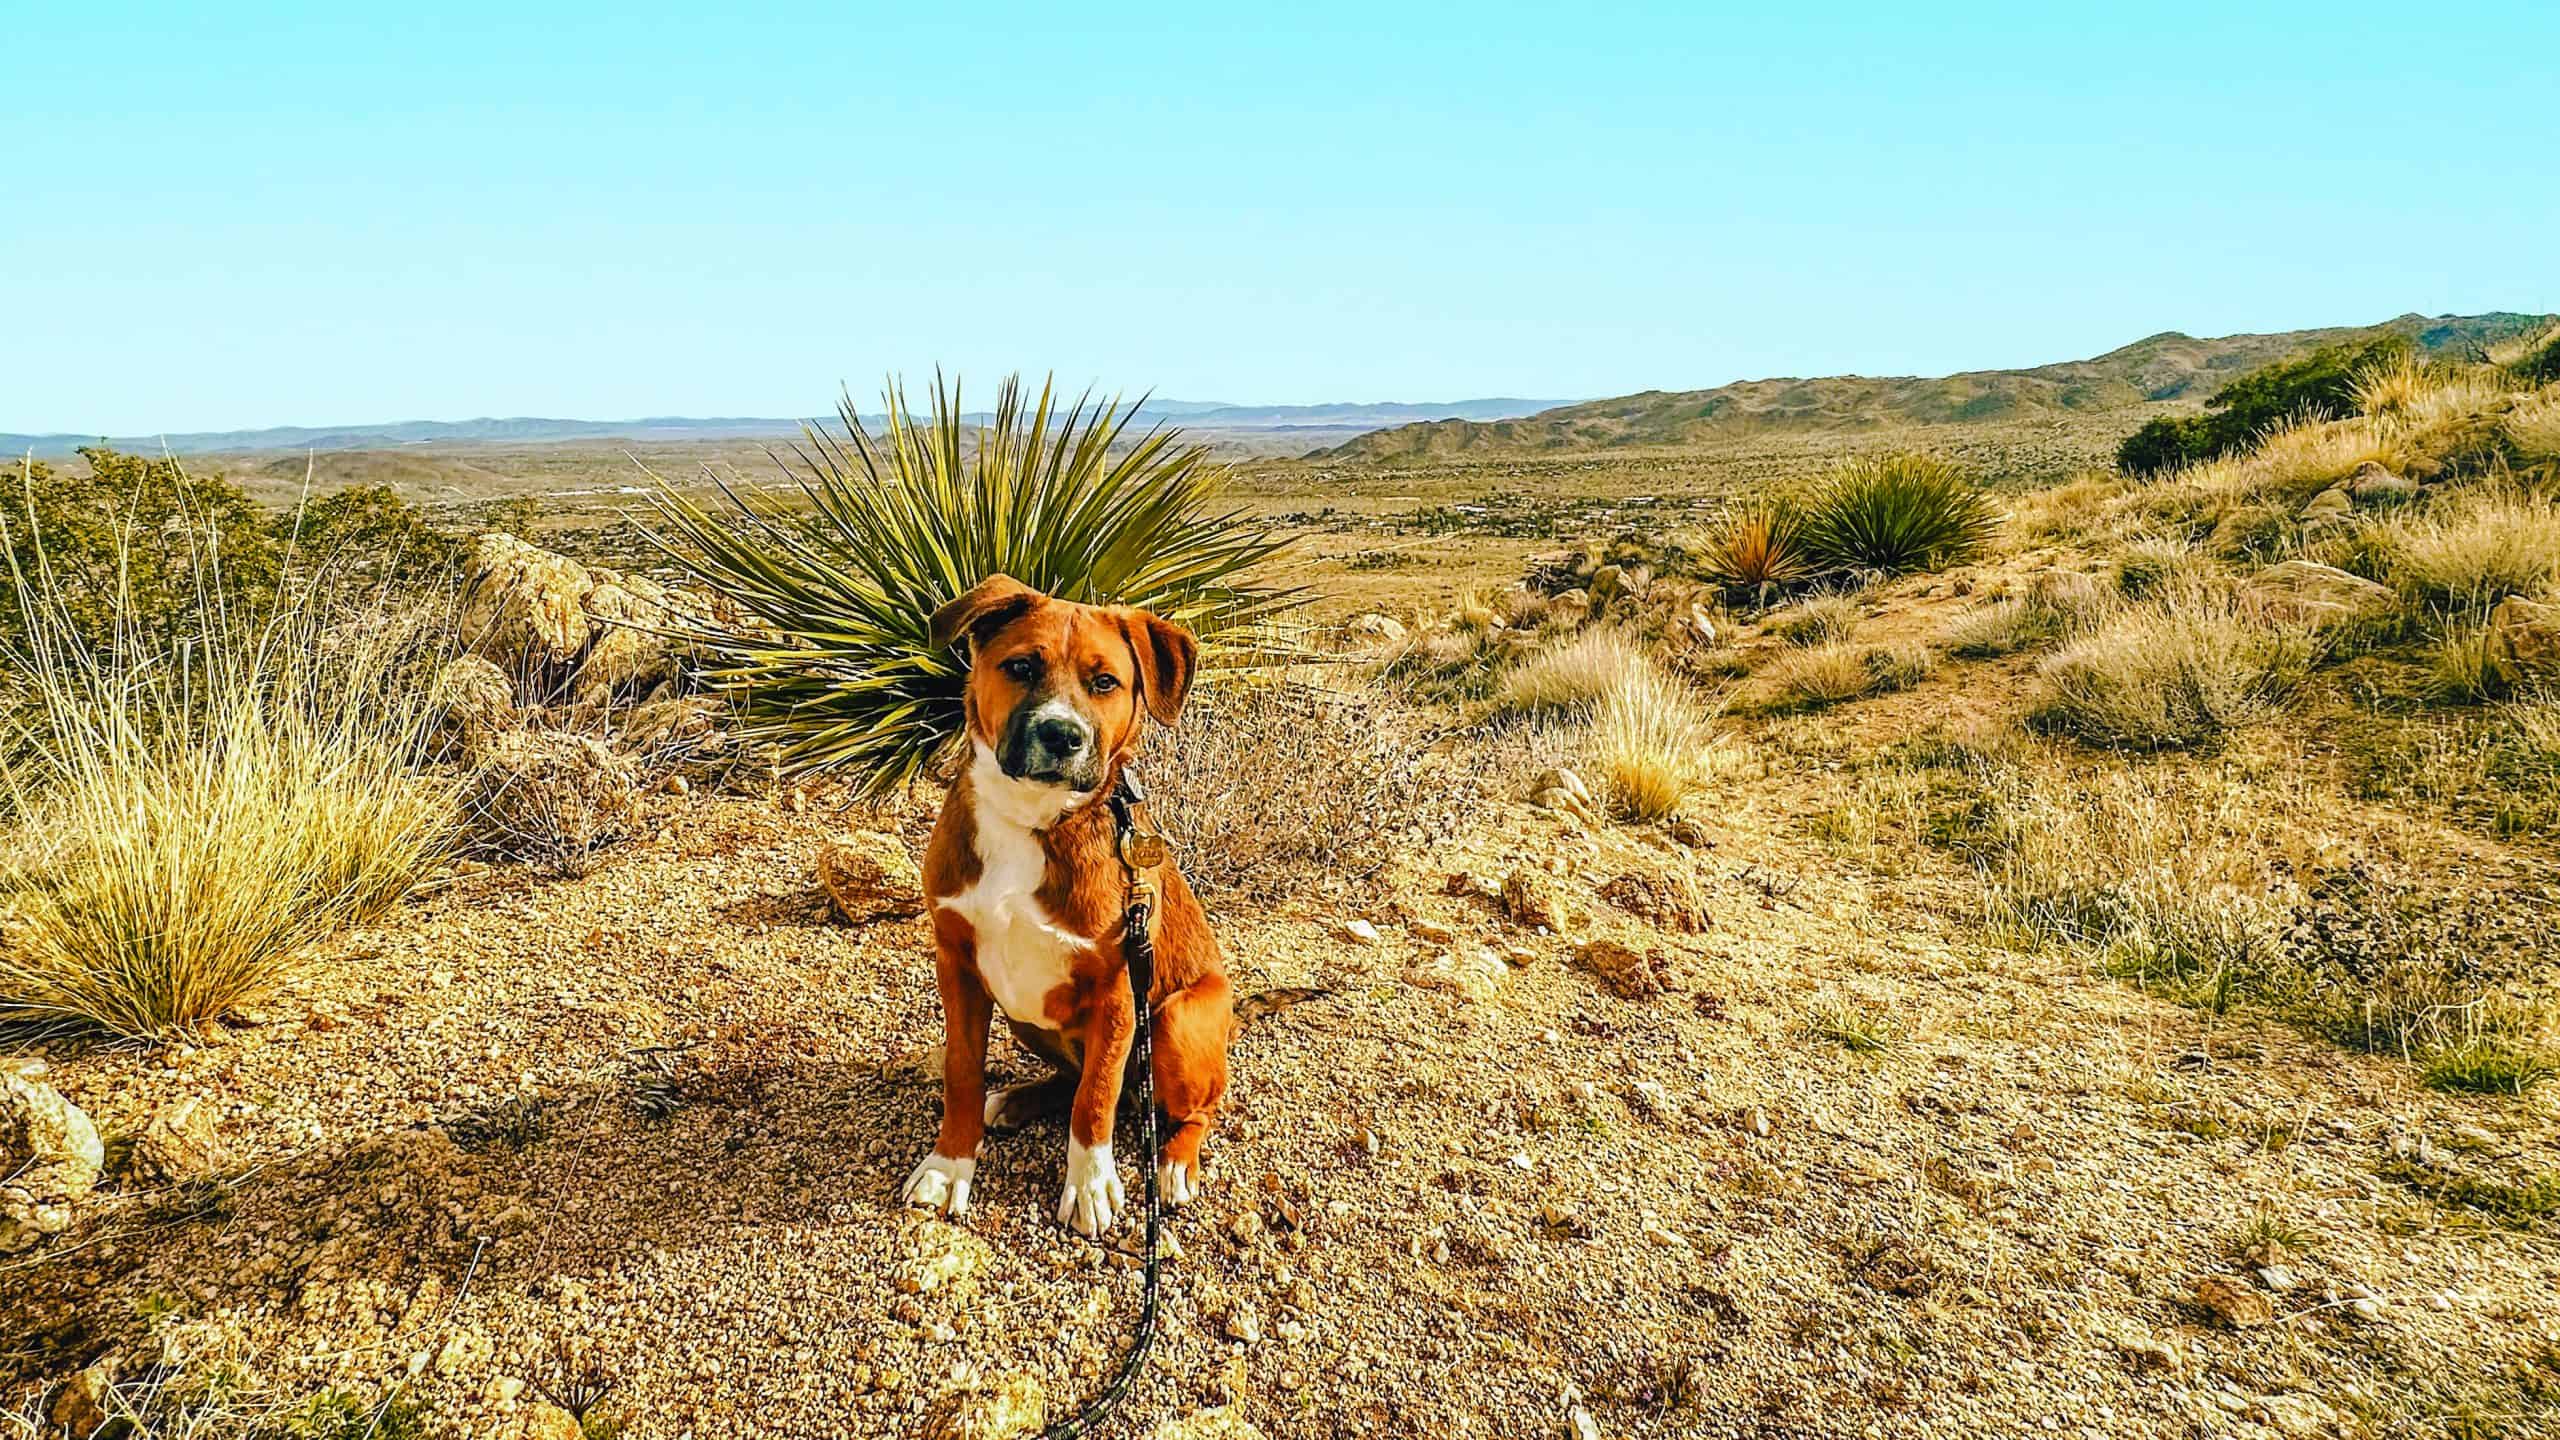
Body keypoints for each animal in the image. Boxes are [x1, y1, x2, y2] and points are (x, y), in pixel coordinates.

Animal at [906, 571, 1233, 1235]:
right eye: (1021, 666)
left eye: (1105, 682)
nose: (1062, 735)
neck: (1031, 819)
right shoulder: (958, 966)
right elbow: (962, 1072)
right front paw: (950, 1165)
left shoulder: (1118, 992)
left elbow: (1097, 1096)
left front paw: (1089, 1185)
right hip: (1026, 1016)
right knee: (1069, 1075)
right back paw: (1018, 1097)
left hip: (1175, 1020)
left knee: (1196, 1106)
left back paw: (1175, 1162)